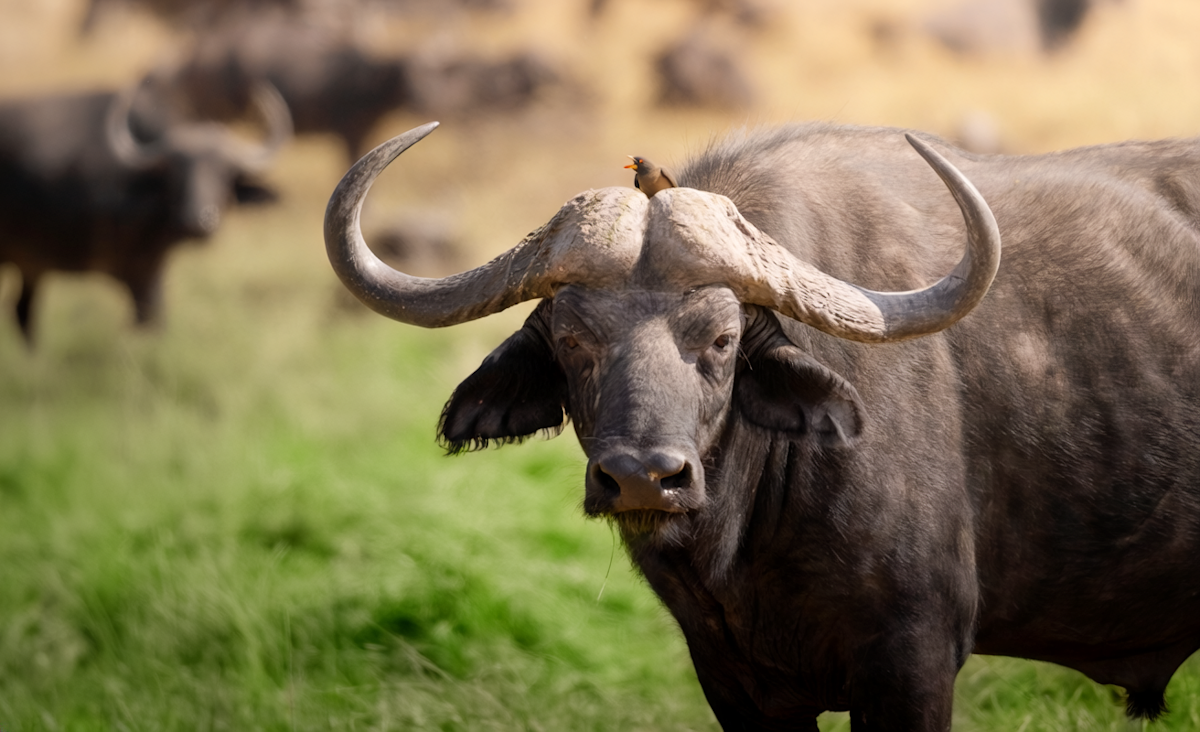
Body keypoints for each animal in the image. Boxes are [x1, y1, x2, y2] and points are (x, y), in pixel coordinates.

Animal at [0, 81, 291, 343]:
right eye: (176, 173)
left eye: (225, 174)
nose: (198, 221)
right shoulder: (136, 273)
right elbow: (146, 323)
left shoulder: (154, 269)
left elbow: (156, 322)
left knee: (22, 312)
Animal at [325, 122, 1200, 730]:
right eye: (572, 339)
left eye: (720, 338)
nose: (642, 477)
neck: (751, 537)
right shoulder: (734, 679)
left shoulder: (913, 660)